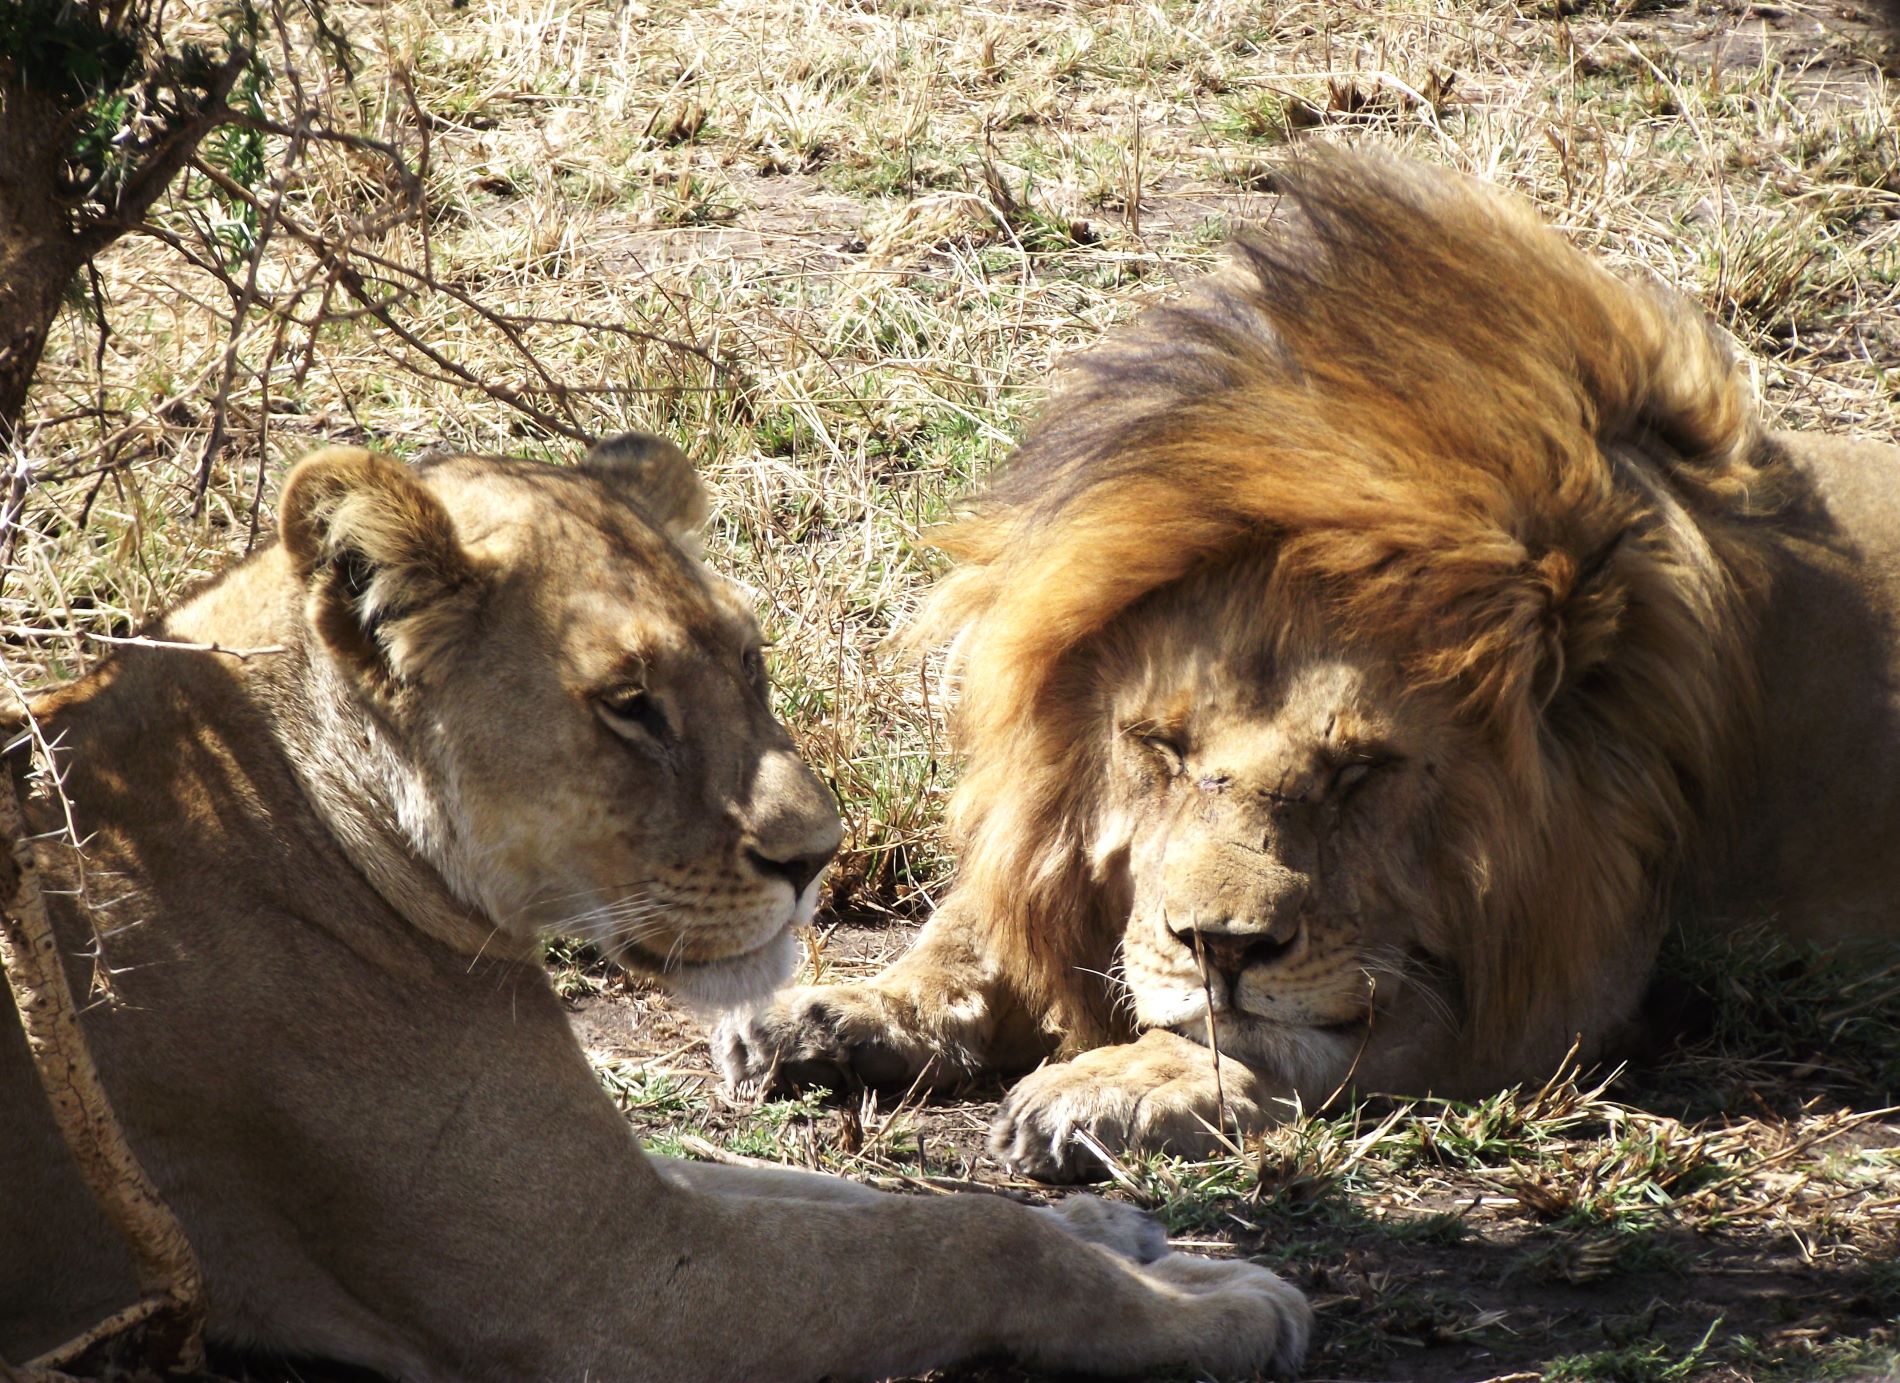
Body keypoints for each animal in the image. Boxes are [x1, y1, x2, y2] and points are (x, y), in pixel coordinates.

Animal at [0, 437, 1310, 1377]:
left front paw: (1129, 1243)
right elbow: (951, 1242)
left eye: (749, 663)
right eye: (628, 705)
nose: (816, 854)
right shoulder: (590, 1288)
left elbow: (849, 1196)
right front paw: (1214, 1308)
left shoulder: (633, 1203)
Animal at [719, 151, 1900, 1181]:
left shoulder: (1551, 989)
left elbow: (1269, 1038)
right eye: (1160, 746)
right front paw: (830, 1008)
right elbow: (977, 924)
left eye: (1363, 772)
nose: (1221, 948)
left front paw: (1119, 1084)